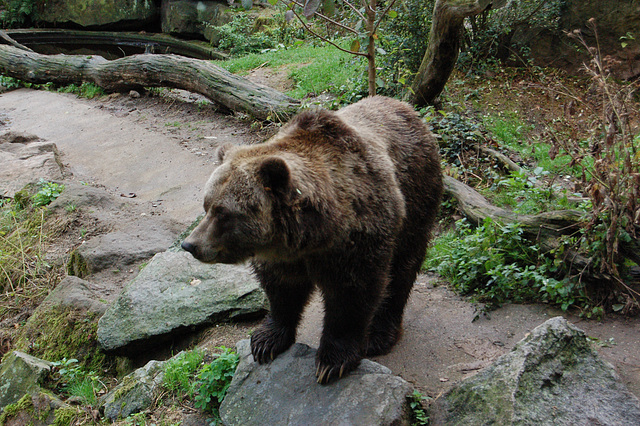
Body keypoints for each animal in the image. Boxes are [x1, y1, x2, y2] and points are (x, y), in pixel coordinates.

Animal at [182, 96, 442, 382]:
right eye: (207, 205)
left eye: (223, 213)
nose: (190, 244)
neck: (313, 234)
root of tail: (407, 108)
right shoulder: (283, 256)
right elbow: (281, 289)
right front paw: (265, 341)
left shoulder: (357, 239)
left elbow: (352, 295)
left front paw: (332, 361)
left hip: (416, 195)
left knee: (402, 268)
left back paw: (379, 334)